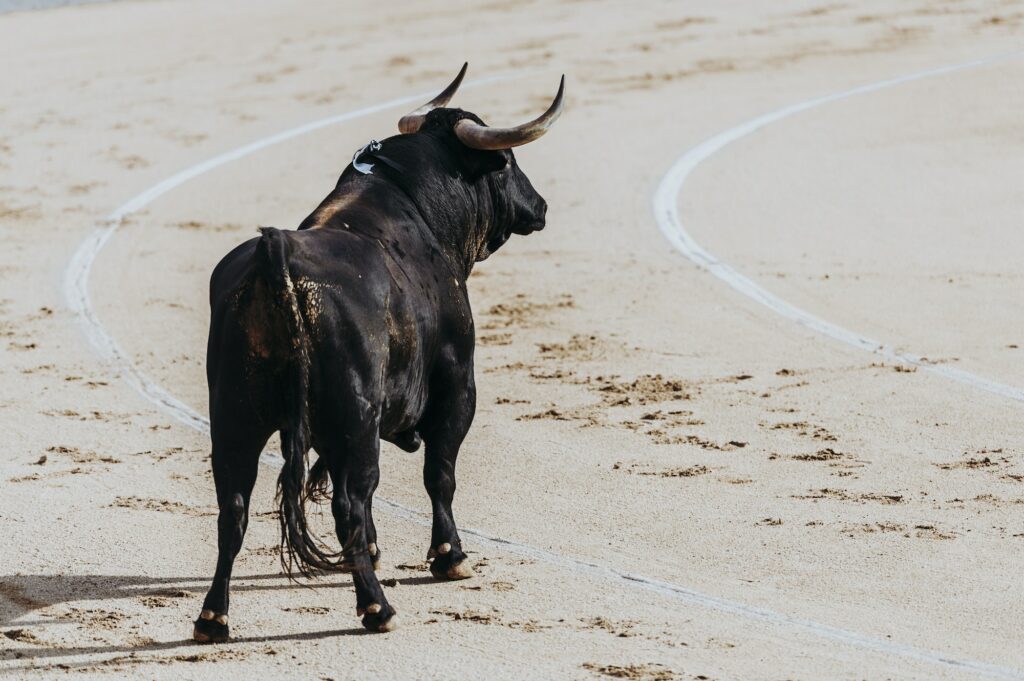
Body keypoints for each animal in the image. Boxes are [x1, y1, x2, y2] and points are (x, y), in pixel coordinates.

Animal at [193, 64, 564, 642]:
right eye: (506, 161)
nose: (540, 206)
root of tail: (277, 252)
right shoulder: (458, 384)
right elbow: (439, 473)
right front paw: (450, 557)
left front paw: (373, 550)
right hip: (355, 417)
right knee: (348, 500)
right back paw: (377, 608)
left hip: (234, 417)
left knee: (232, 508)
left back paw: (213, 618)